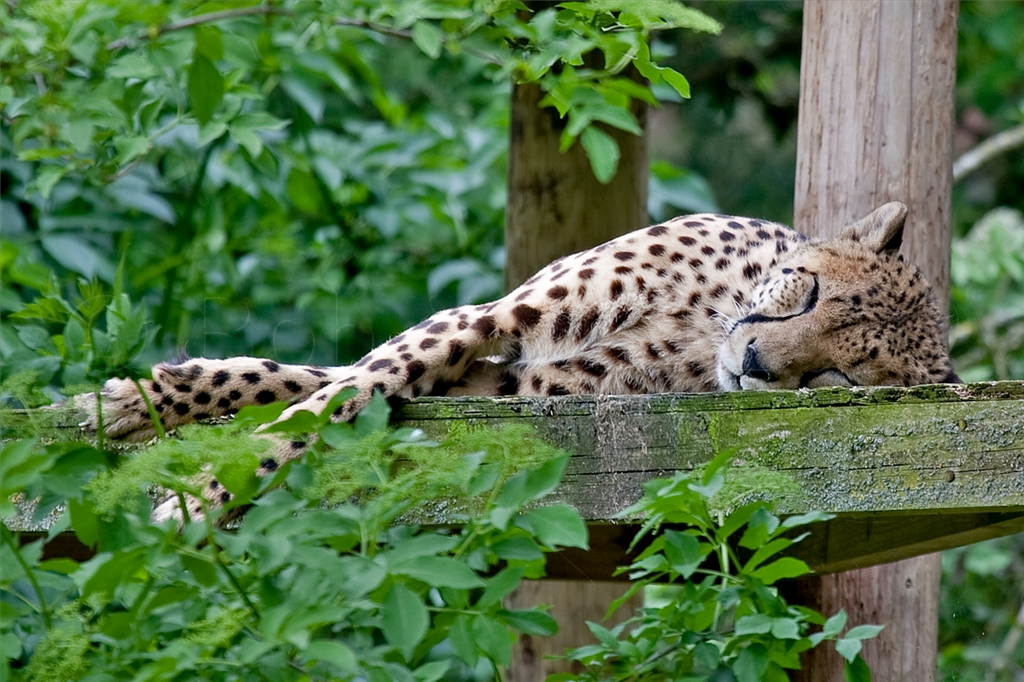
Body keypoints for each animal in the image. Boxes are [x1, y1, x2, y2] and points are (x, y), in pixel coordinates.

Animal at [81, 201, 958, 519]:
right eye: (807, 295)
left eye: (835, 378)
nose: (753, 363)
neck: (705, 320)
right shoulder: (499, 317)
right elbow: (340, 381)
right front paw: (148, 406)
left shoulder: (514, 383)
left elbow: (342, 393)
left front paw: (203, 481)